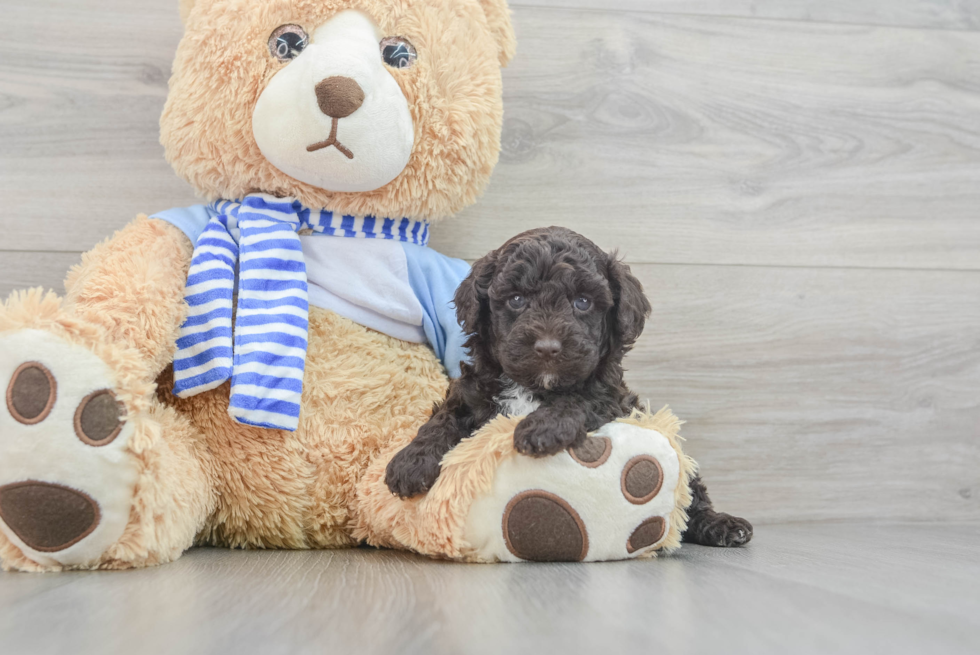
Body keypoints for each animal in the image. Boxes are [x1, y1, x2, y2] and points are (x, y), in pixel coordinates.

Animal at [386, 227, 756, 548]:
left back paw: (724, 526)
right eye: (516, 299)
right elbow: (442, 419)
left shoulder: (611, 396)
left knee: (693, 497)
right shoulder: (471, 392)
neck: (534, 387)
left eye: (582, 302)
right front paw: (409, 463)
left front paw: (541, 429)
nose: (548, 348)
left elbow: (579, 398)